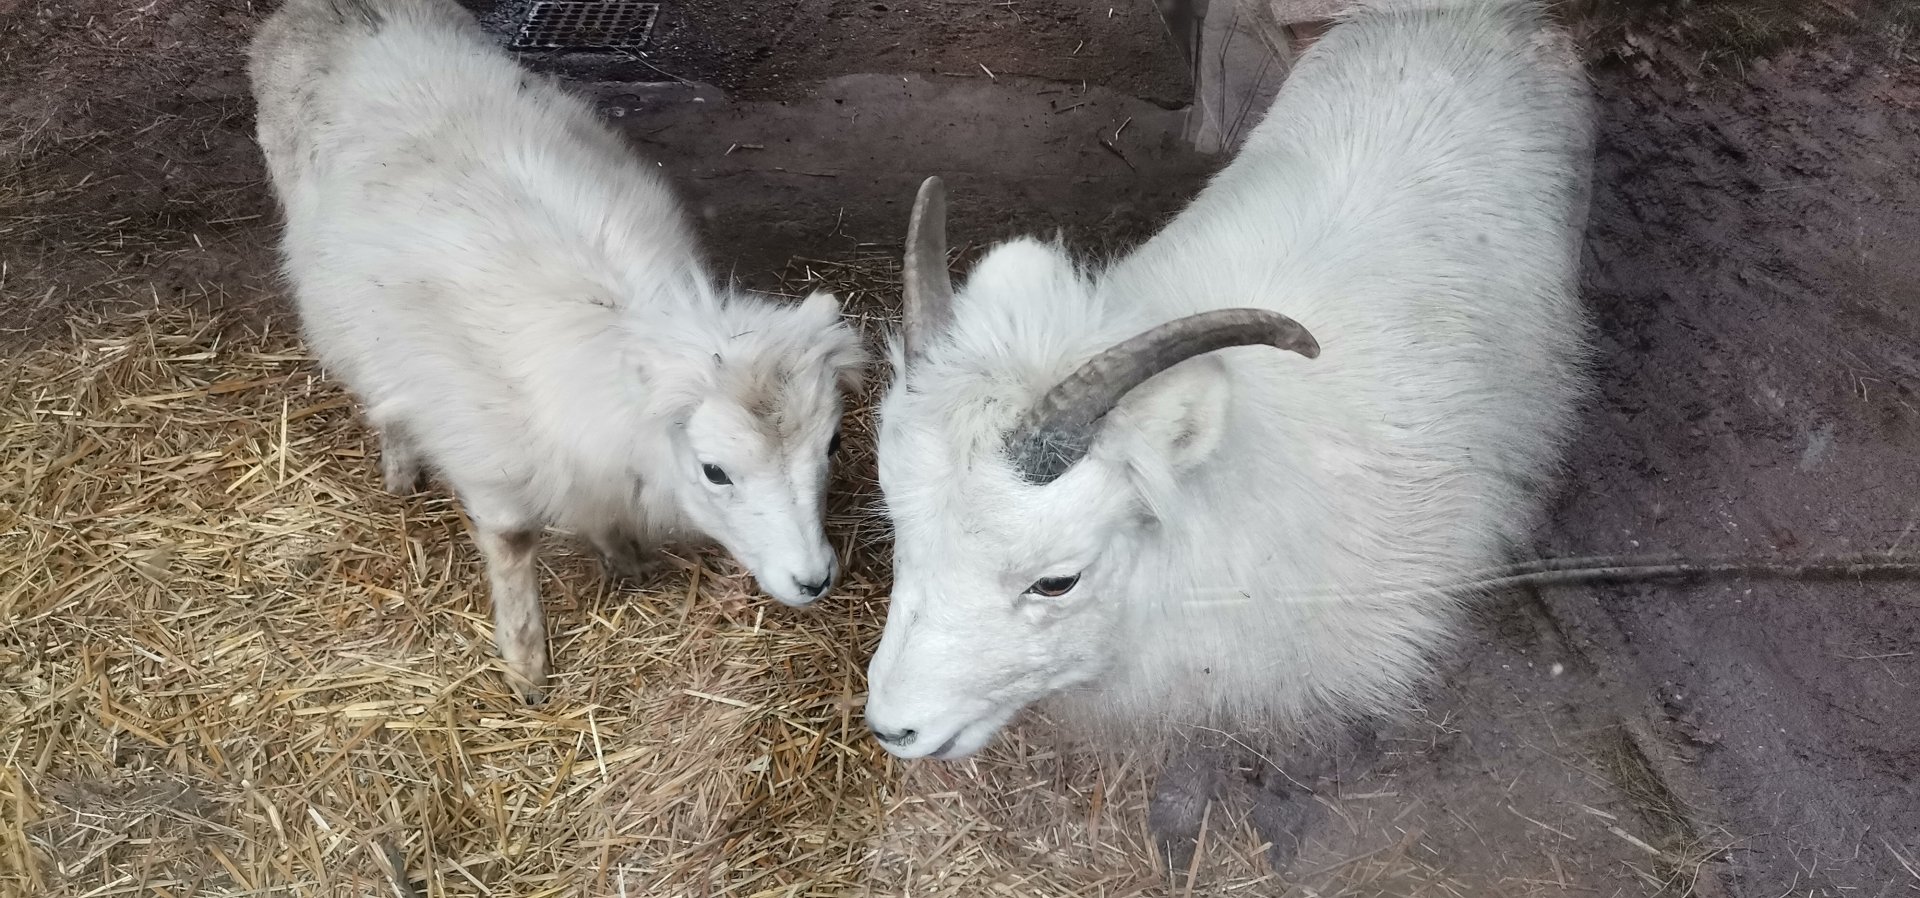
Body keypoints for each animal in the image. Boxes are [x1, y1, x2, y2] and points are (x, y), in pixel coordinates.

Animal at [247, 0, 866, 701]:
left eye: (833, 445)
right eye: (714, 471)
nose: (814, 579)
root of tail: (324, 10)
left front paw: (625, 559)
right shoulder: (489, 463)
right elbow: (514, 545)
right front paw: (526, 664)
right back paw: (401, 468)